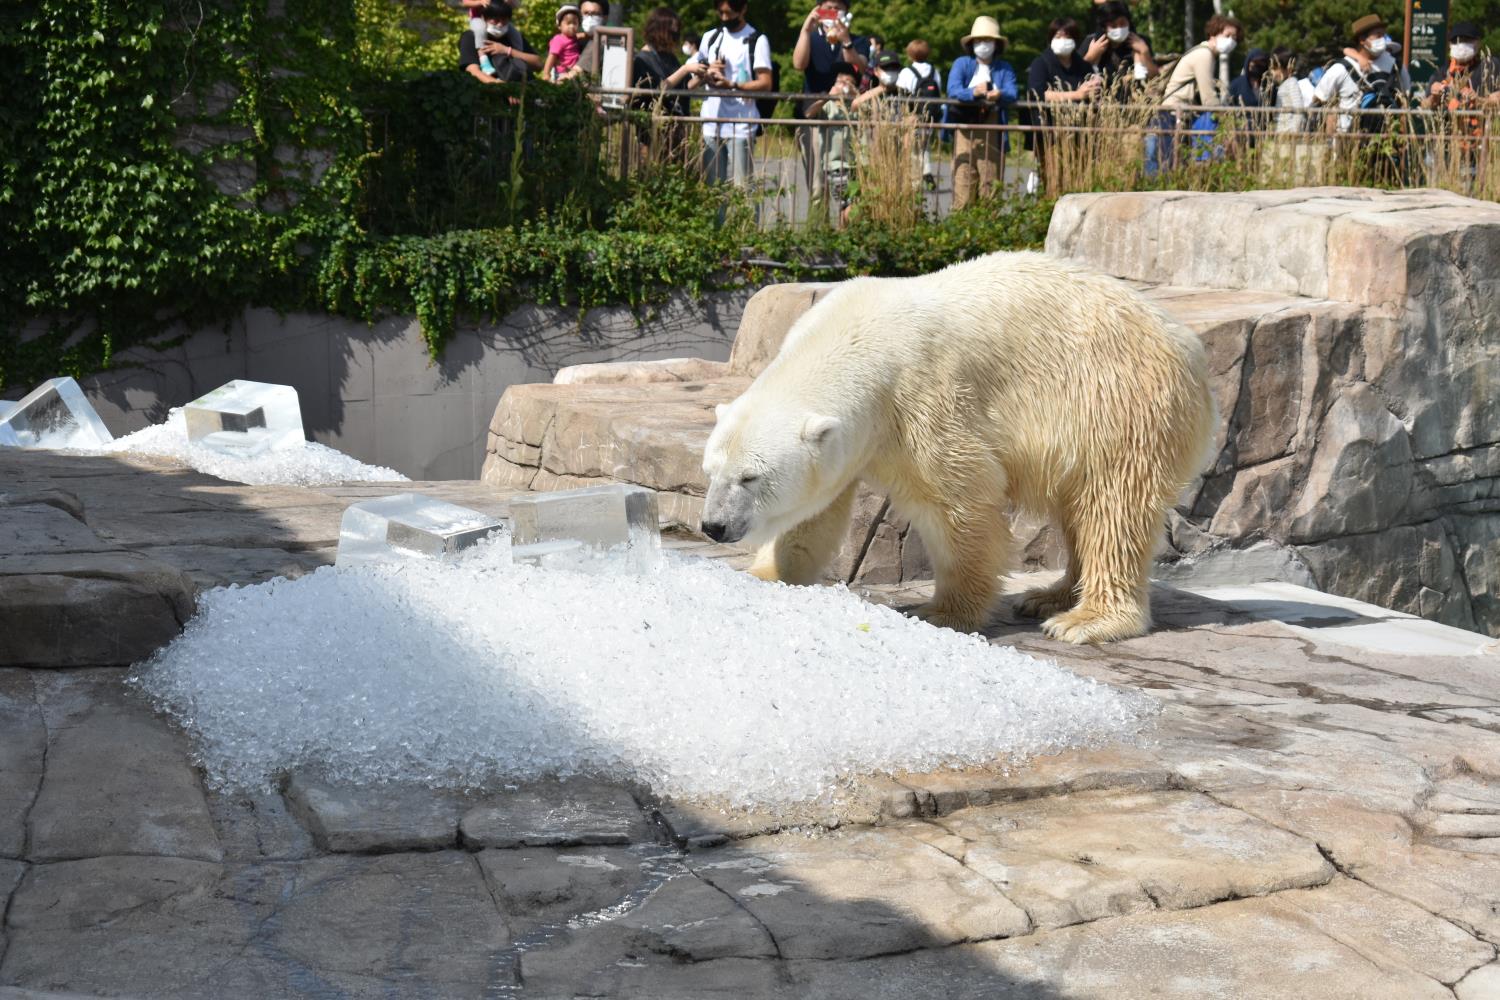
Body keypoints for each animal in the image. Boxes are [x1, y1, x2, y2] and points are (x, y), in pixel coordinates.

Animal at [702, 248, 1218, 641]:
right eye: (711, 472)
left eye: (750, 476)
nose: (713, 526)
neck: (854, 334)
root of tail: (1185, 343)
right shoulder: (852, 440)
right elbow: (814, 516)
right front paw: (764, 575)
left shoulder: (922, 398)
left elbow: (959, 502)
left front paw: (942, 611)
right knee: (1079, 507)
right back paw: (1047, 596)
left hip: (1118, 404)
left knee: (1112, 506)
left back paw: (1084, 620)